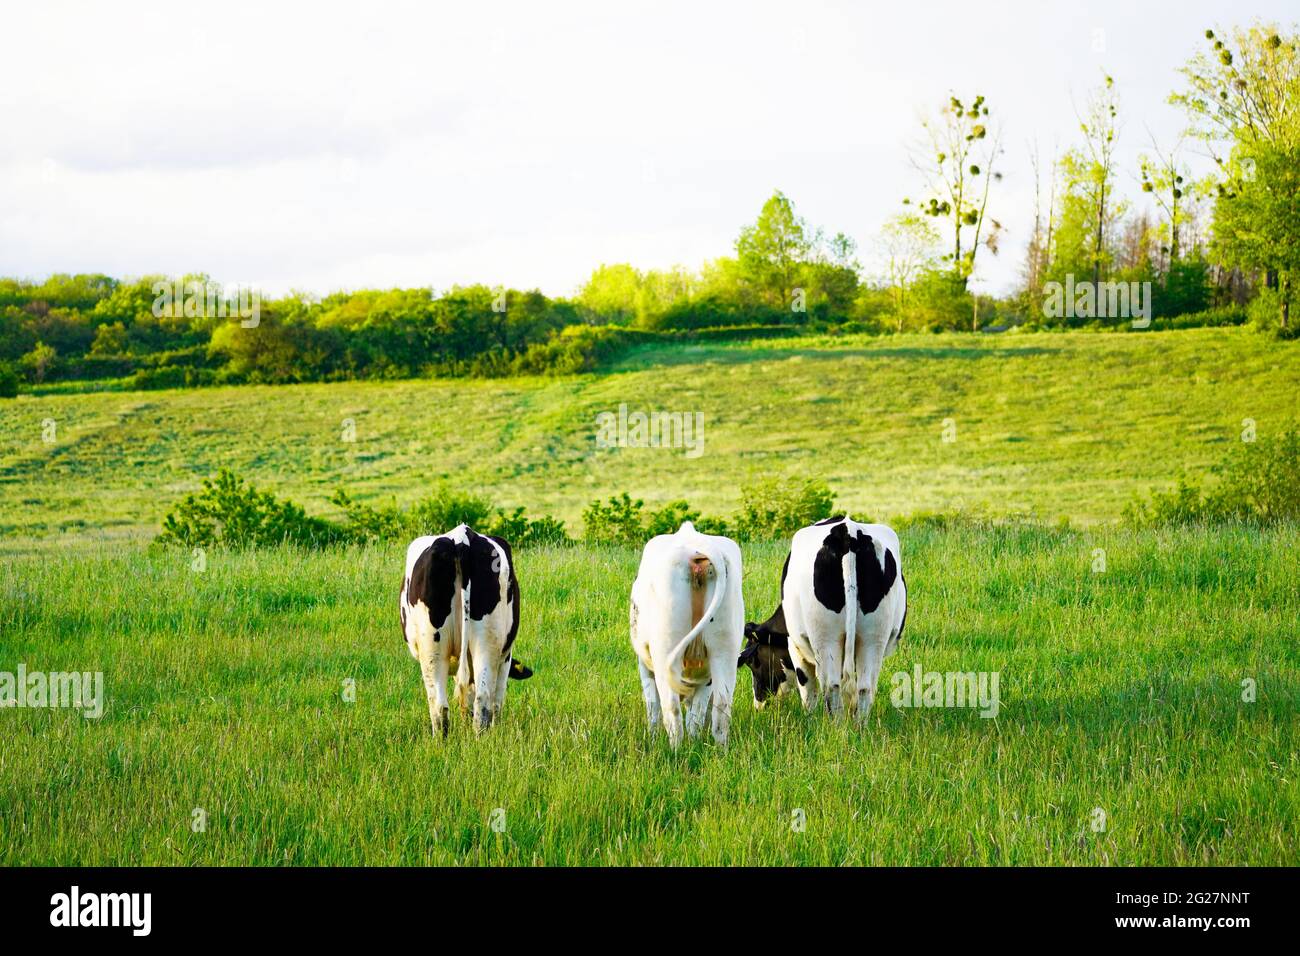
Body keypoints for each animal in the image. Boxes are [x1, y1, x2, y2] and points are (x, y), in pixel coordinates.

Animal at [398, 525, 532, 736]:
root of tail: (462, 536)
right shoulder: (505, 657)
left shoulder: (505, 657)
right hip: (476, 644)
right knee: (472, 700)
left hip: (439, 649)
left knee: (447, 704)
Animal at [629, 521, 744, 748]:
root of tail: (696, 542)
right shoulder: (706, 677)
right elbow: (696, 715)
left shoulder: (644, 664)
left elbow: (652, 706)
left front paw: (652, 738)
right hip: (724, 649)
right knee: (721, 709)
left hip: (665, 650)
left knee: (671, 710)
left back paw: (675, 751)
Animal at [740, 516, 906, 722]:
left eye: (753, 662)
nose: (759, 705)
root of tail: (848, 533)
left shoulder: (795, 648)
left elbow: (808, 690)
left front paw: (809, 719)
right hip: (873, 637)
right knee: (864, 688)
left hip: (825, 637)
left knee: (832, 686)